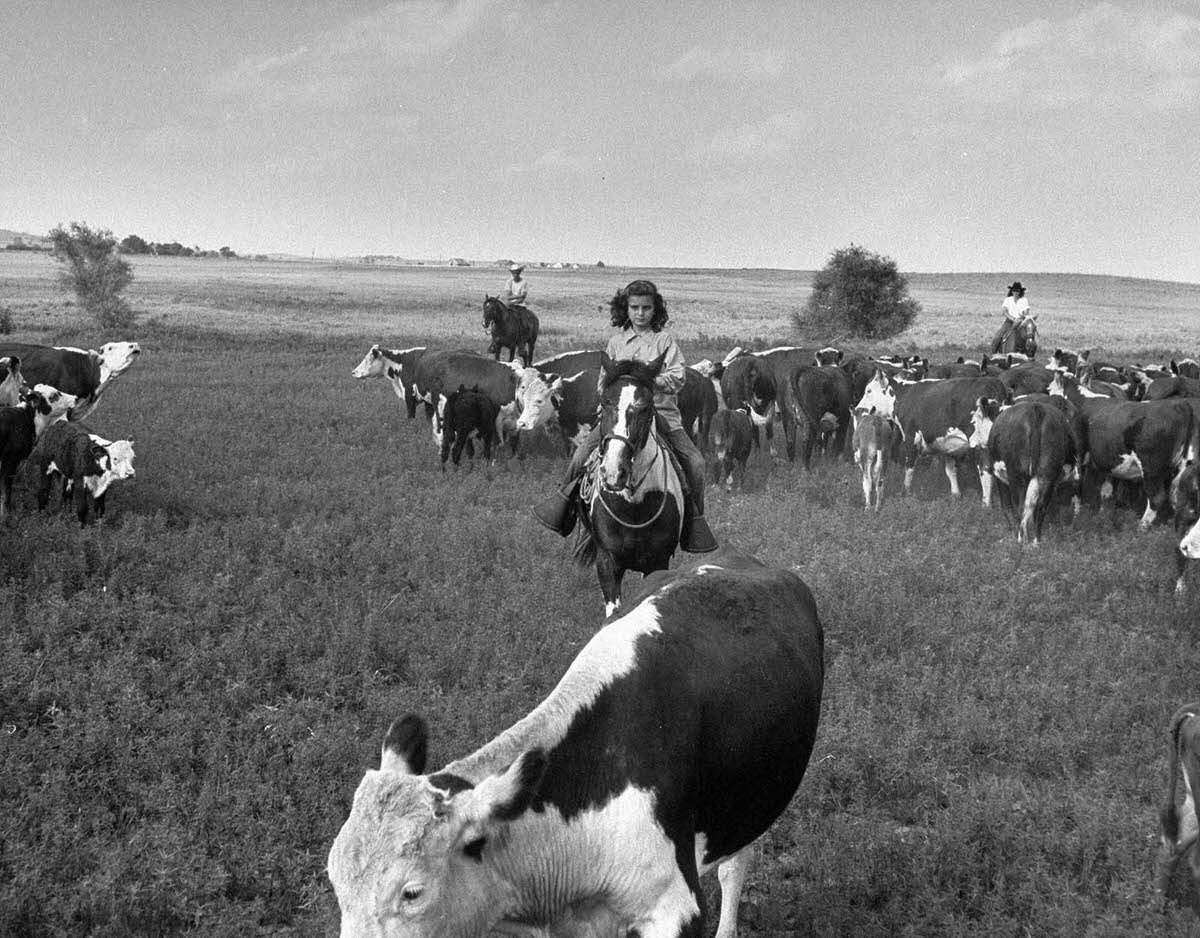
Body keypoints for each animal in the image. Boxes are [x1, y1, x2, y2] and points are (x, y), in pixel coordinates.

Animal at [859, 371, 1008, 498]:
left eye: (868, 390)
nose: (859, 408)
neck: (904, 396)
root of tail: (993, 382)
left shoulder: (911, 438)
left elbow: (909, 468)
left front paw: (905, 493)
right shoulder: (950, 447)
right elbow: (950, 470)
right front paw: (955, 494)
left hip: (981, 445)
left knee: (986, 472)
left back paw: (986, 504)